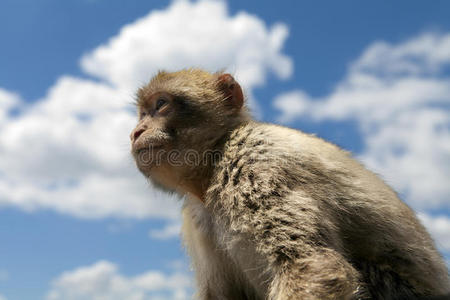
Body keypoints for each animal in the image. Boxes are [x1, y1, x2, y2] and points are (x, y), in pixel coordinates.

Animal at [131, 69, 450, 298]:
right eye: (142, 113)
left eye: (161, 104)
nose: (136, 131)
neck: (214, 163)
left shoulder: (258, 166)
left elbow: (313, 267)